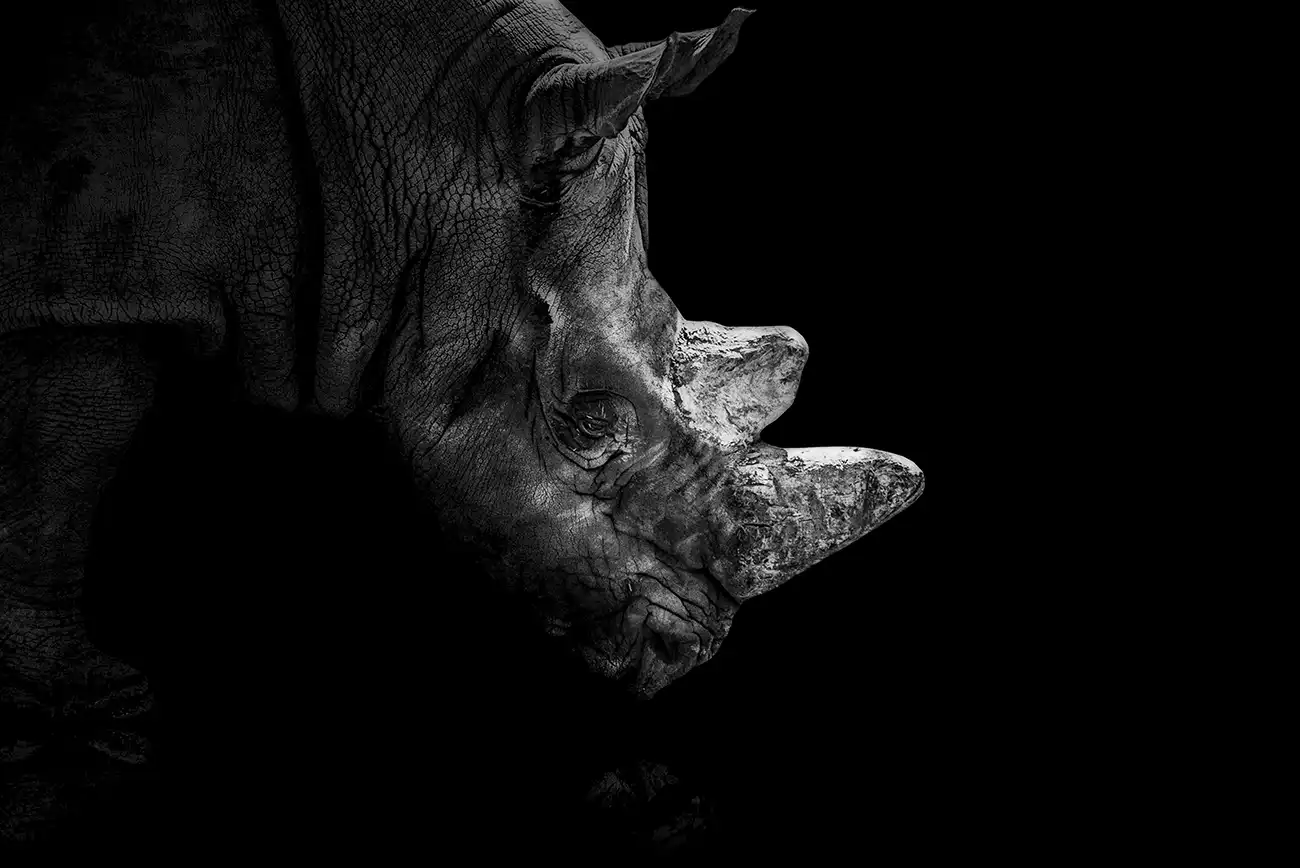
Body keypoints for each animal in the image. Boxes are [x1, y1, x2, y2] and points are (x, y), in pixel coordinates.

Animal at [0, 0, 923, 808]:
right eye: (591, 423)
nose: (682, 655)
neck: (420, 144)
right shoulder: (89, 289)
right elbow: (64, 455)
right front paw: (95, 702)